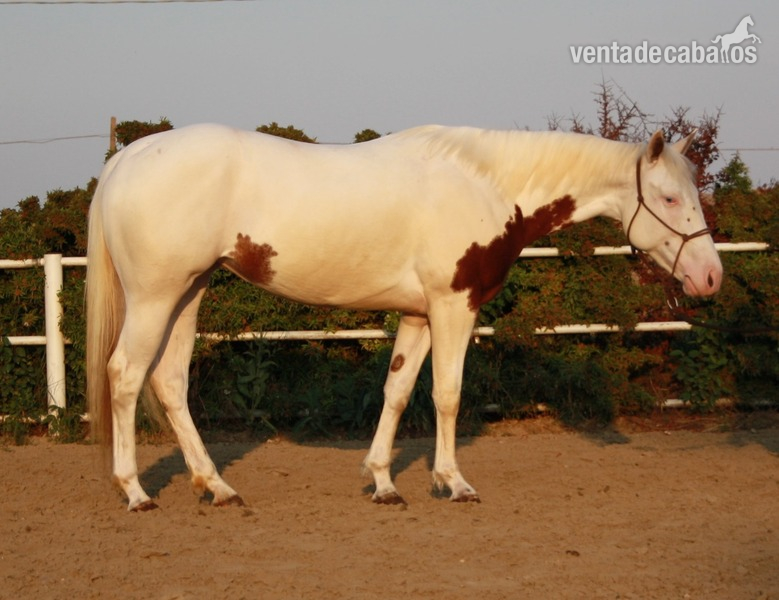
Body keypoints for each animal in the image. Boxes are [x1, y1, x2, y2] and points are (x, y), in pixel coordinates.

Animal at [86, 123, 722, 511]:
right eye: (669, 198)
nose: (710, 276)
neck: (486, 184)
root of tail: (127, 158)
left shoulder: (418, 314)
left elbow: (396, 392)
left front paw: (385, 482)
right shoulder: (453, 305)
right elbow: (448, 394)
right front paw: (455, 482)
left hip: (188, 293)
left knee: (169, 381)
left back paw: (216, 486)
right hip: (155, 296)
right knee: (125, 376)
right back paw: (135, 492)